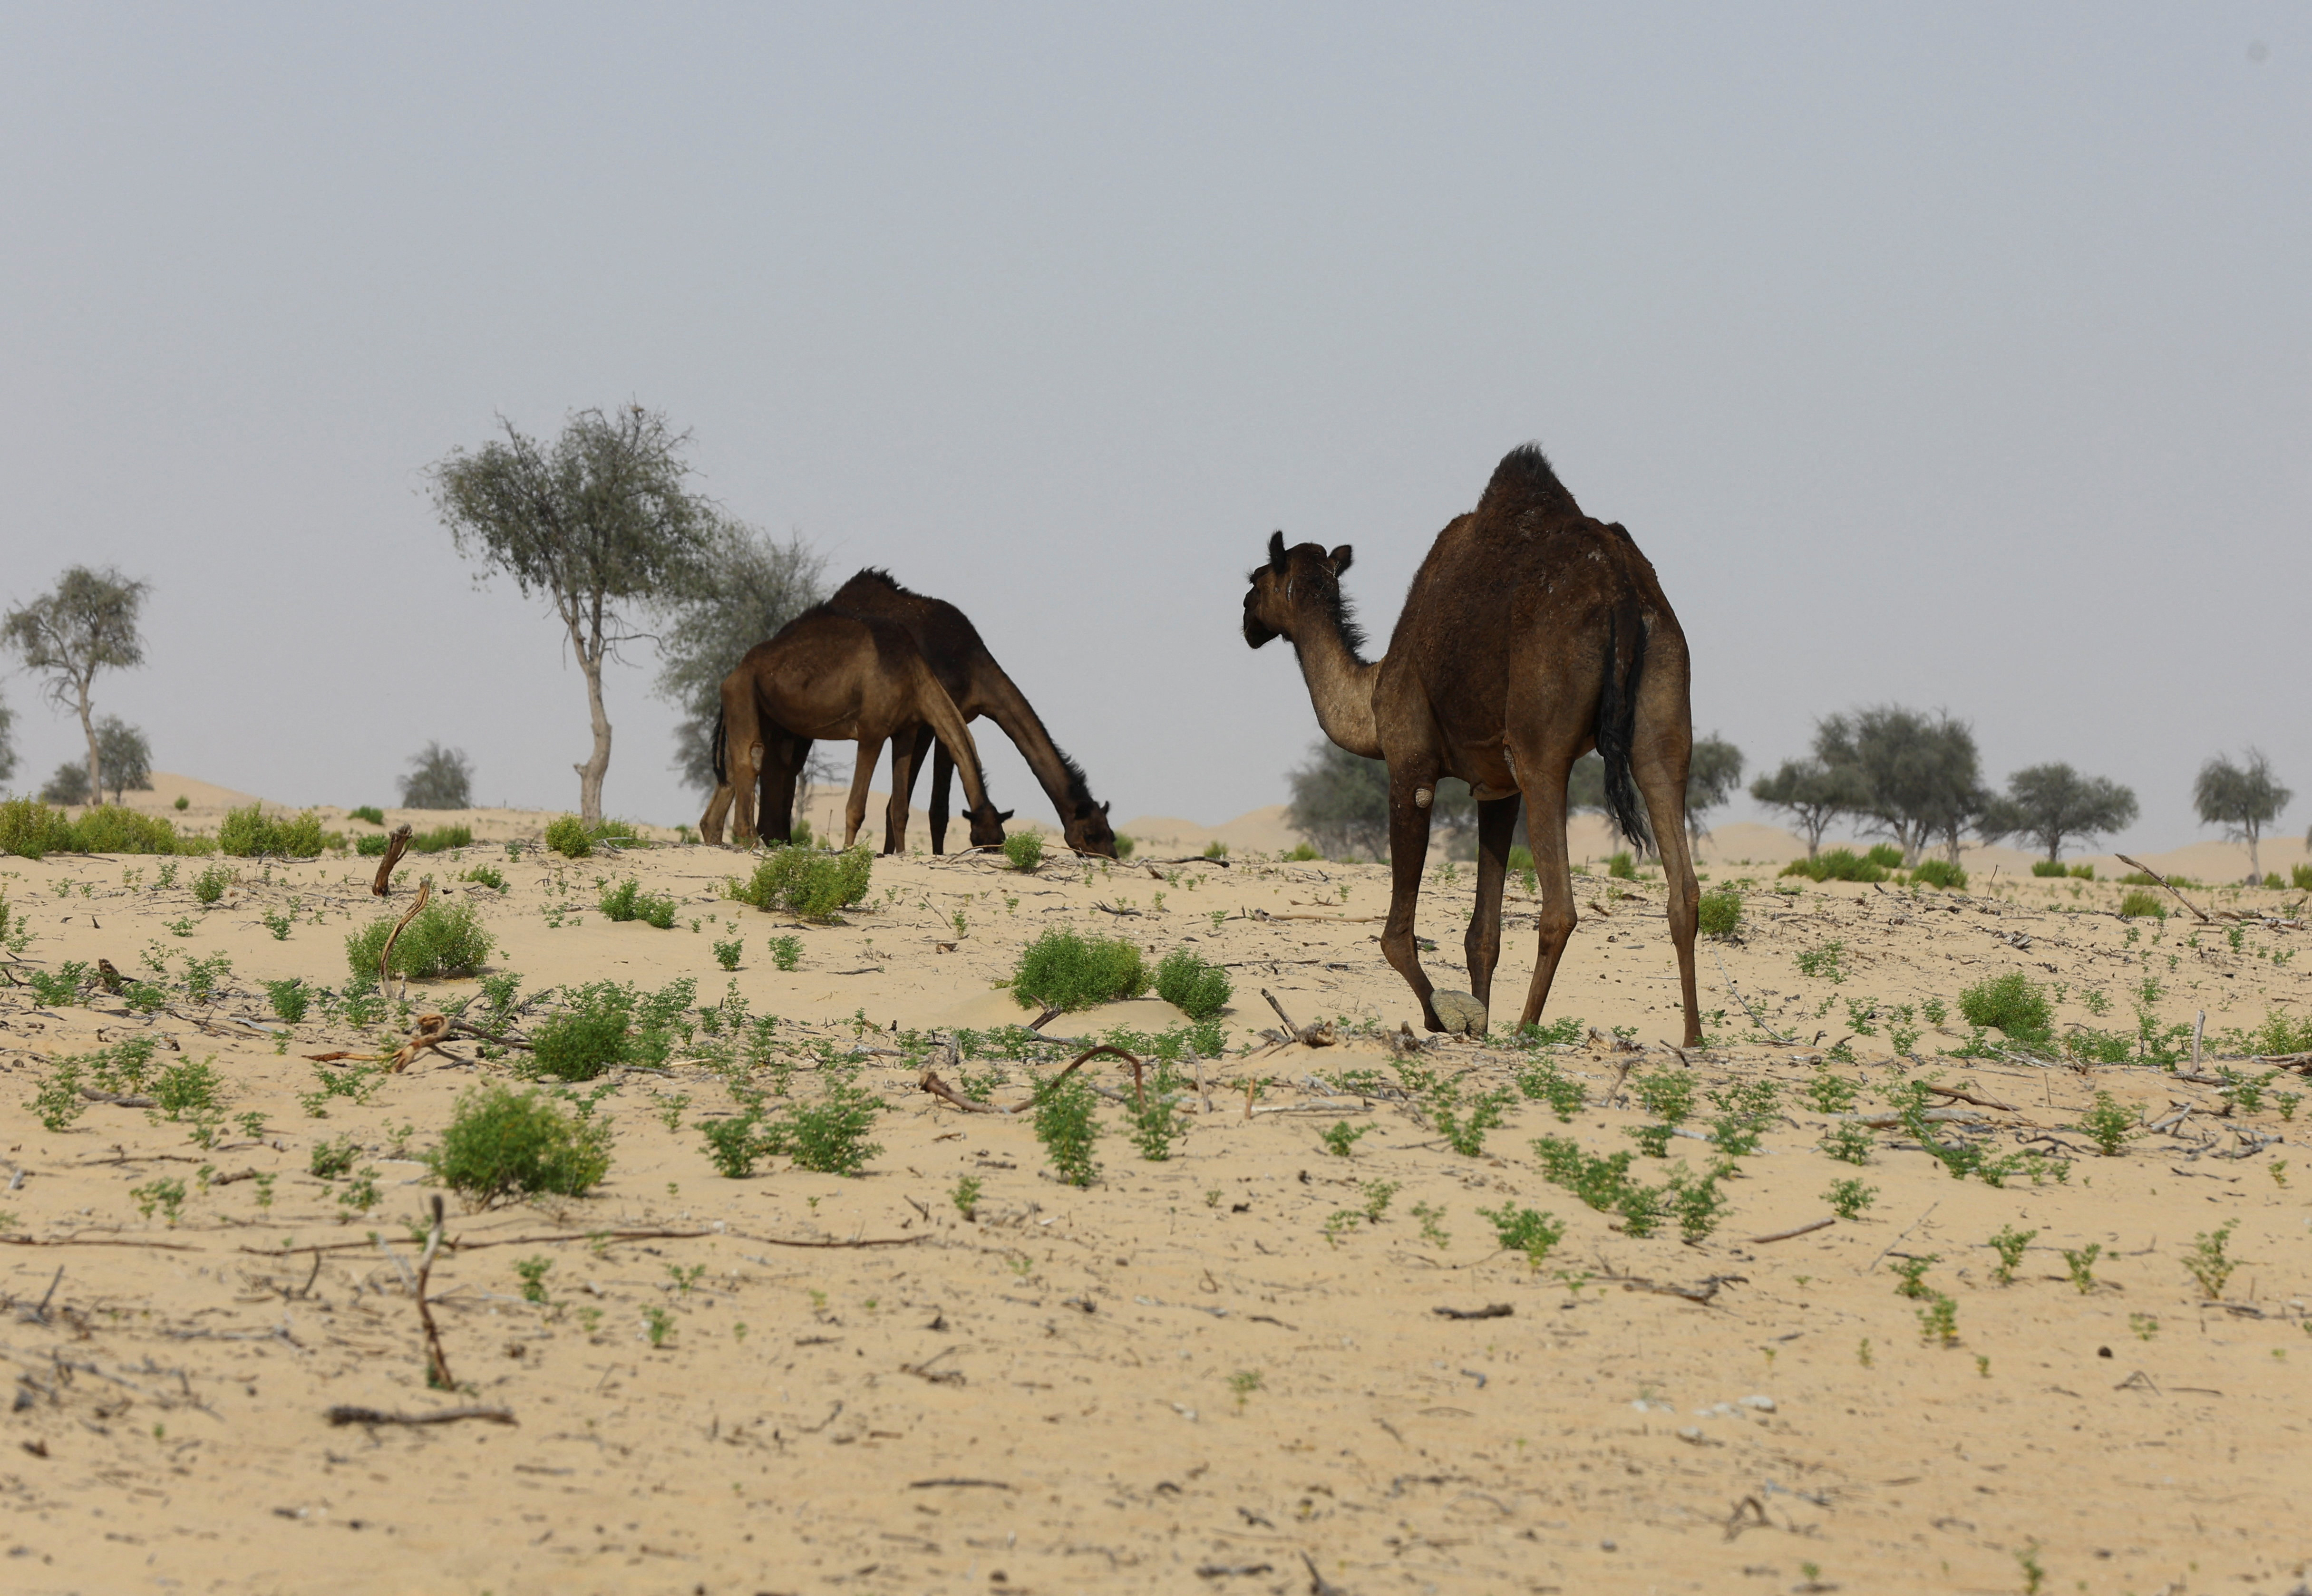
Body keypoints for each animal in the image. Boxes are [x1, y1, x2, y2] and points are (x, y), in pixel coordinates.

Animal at [707, 601, 1008, 851]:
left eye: (1000, 839)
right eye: (981, 840)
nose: (995, 850)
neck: (914, 675)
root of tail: (734, 672)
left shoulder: (906, 733)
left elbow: (900, 810)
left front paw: (901, 854)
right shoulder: (872, 731)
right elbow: (856, 808)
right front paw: (849, 851)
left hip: (765, 709)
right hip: (743, 691)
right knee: (751, 755)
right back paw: (749, 840)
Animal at [1248, 442, 1701, 1036]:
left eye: (1255, 580)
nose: (1247, 622)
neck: (1370, 694)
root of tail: (1620, 591)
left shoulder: (1409, 763)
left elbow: (1395, 938)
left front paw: (1444, 1019)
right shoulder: (1495, 787)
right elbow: (1481, 935)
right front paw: (1478, 1023)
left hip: (1540, 730)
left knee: (1559, 904)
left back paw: (1526, 1031)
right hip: (1663, 684)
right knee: (1679, 865)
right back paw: (1692, 1039)